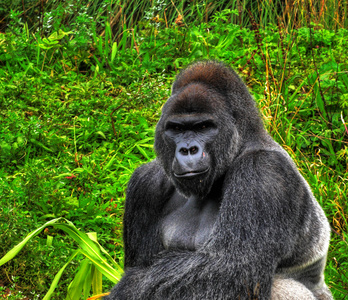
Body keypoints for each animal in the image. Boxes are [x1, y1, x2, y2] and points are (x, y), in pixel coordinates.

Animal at [105, 61, 332, 300]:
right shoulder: (145, 184)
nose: (188, 149)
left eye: (204, 127)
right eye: (176, 128)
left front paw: (126, 288)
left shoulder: (263, 172)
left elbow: (232, 269)